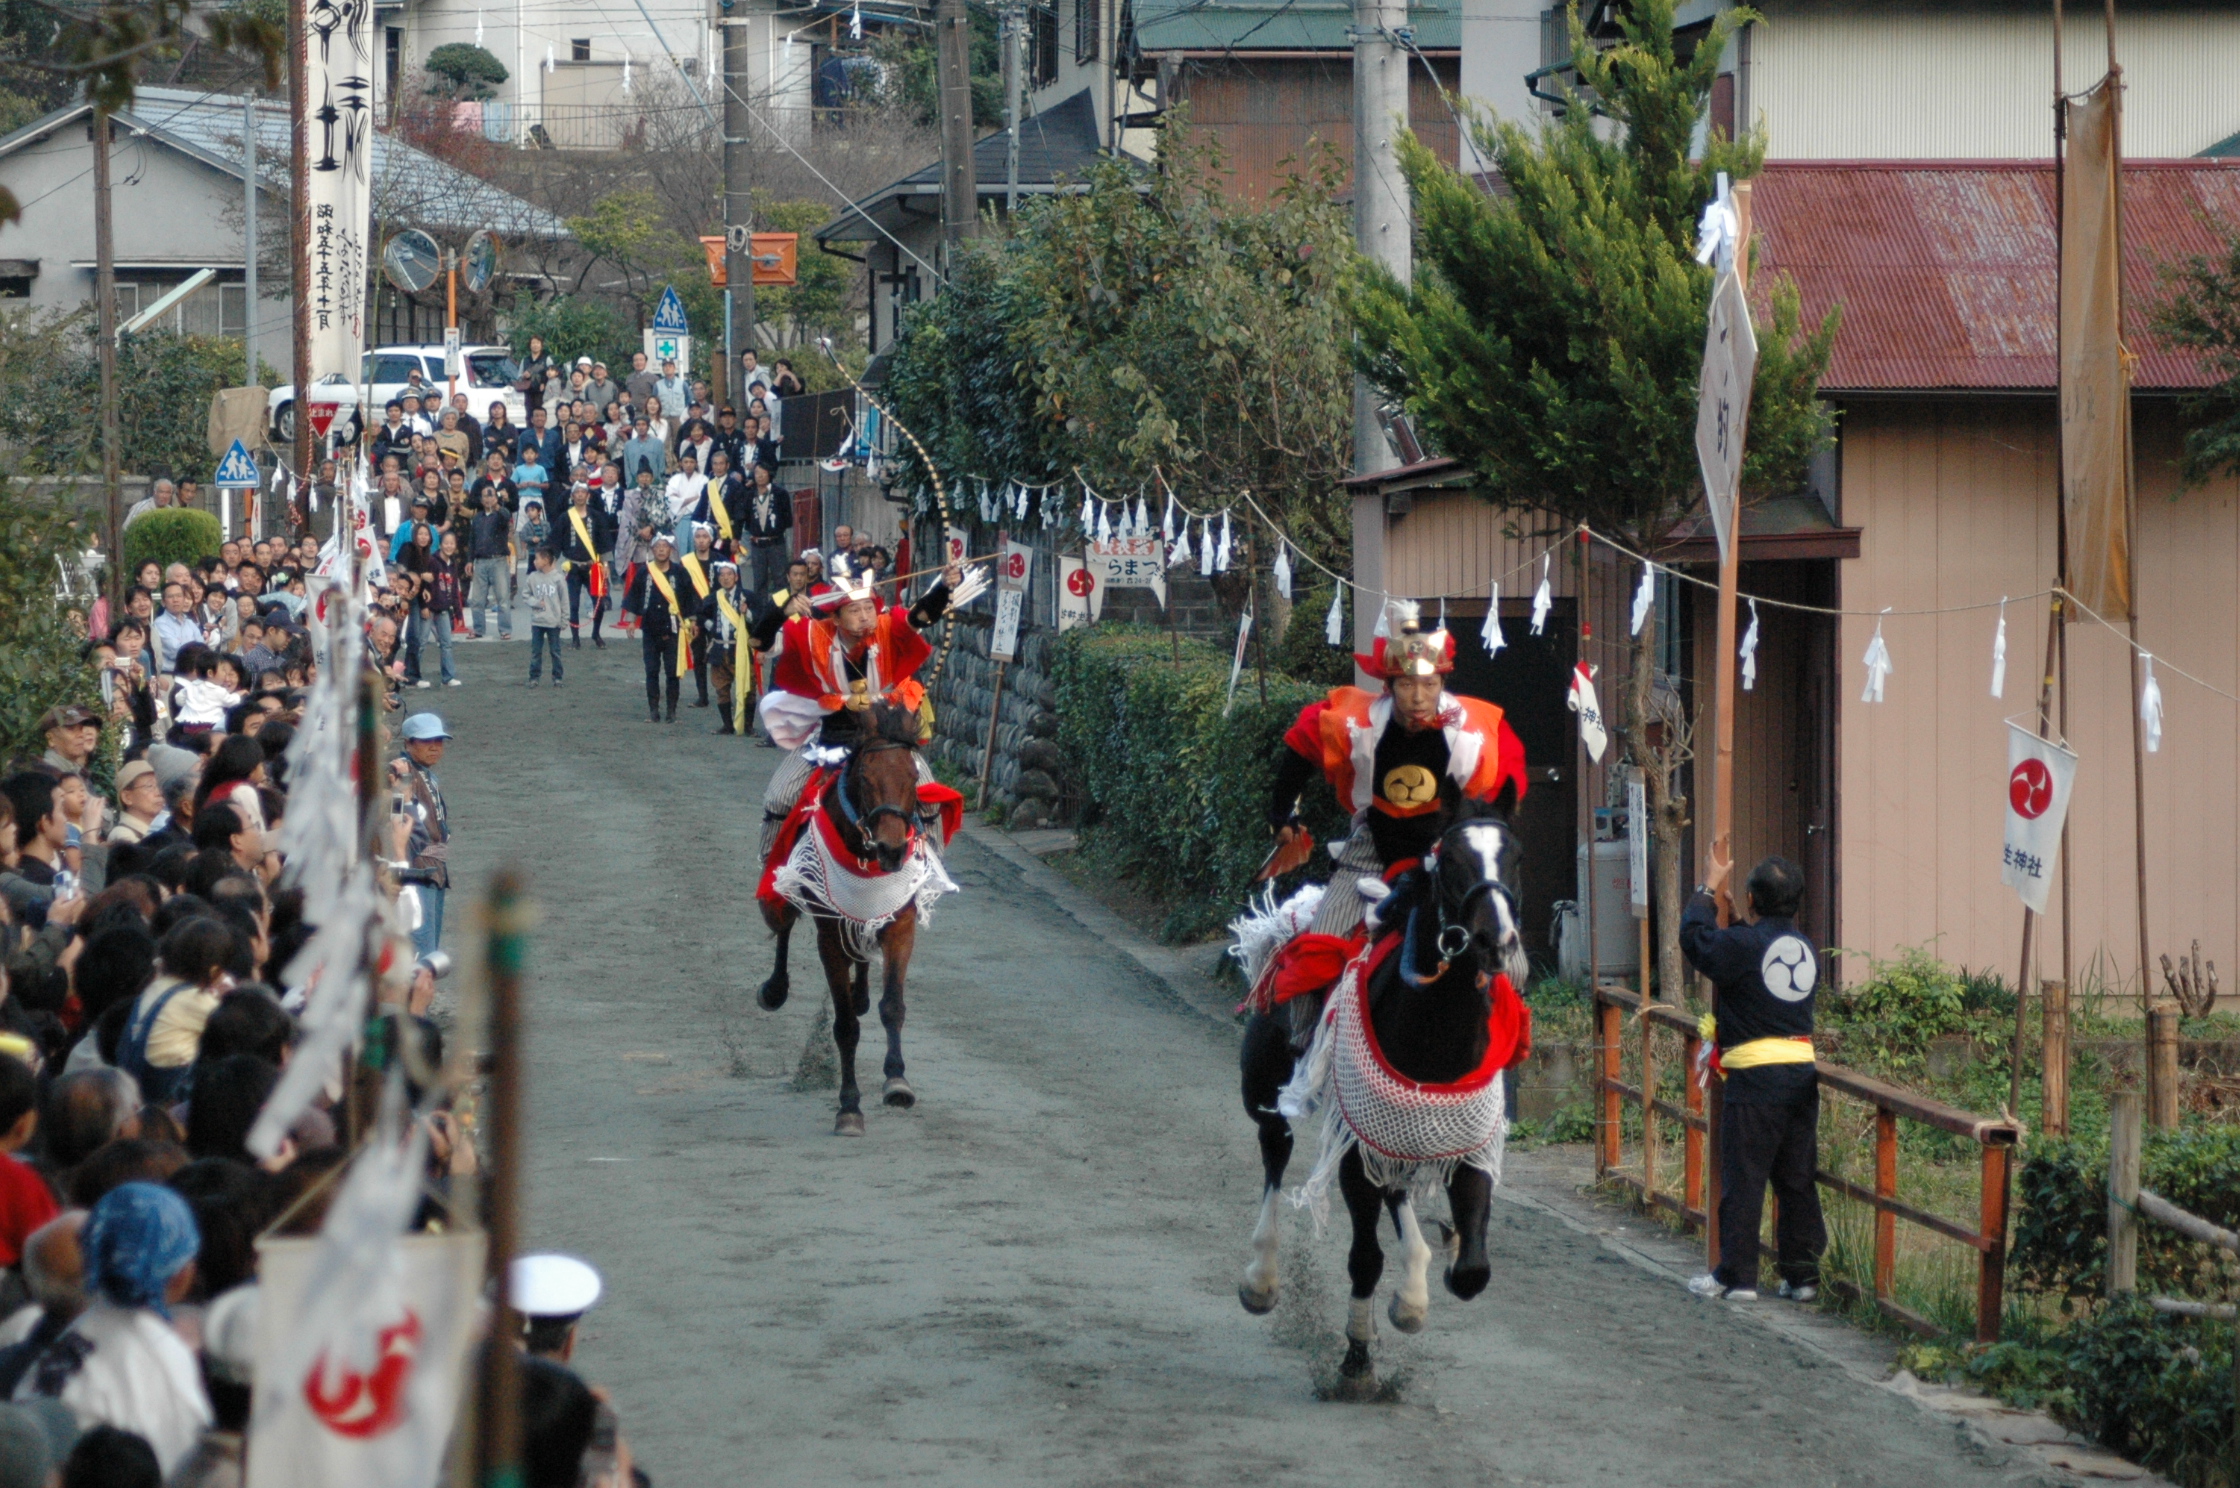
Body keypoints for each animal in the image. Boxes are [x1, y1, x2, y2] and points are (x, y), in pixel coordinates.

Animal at [761, 703, 936, 1133]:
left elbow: (893, 1006)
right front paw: (849, 1107)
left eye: (912, 777)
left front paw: (897, 1082)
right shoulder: (829, 935)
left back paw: (861, 995)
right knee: (783, 925)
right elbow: (844, 1026)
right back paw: (774, 989)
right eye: (865, 778)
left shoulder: (901, 924)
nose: (892, 848)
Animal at [1236, 797, 1532, 1389]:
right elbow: (1365, 1258)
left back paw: (1417, 1275)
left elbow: (1473, 1270)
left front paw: (1445, 1253)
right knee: (1275, 1150)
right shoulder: (1356, 1145)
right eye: (1451, 861)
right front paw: (1357, 1358)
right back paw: (1261, 1277)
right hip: (1265, 1084)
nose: (1496, 941)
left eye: (1514, 856)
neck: (1437, 1029)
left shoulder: (1466, 1144)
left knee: (1394, 1189)